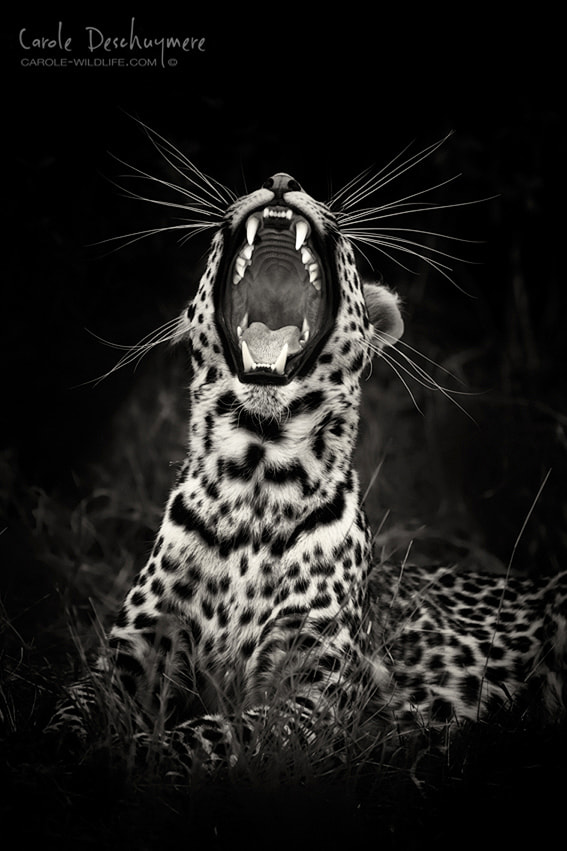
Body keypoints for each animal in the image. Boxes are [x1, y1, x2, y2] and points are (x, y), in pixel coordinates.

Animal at [48, 129, 567, 778]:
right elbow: (70, 707)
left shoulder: (317, 696)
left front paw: (129, 756)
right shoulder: (130, 653)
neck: (252, 475)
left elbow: (211, 735)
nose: (280, 179)